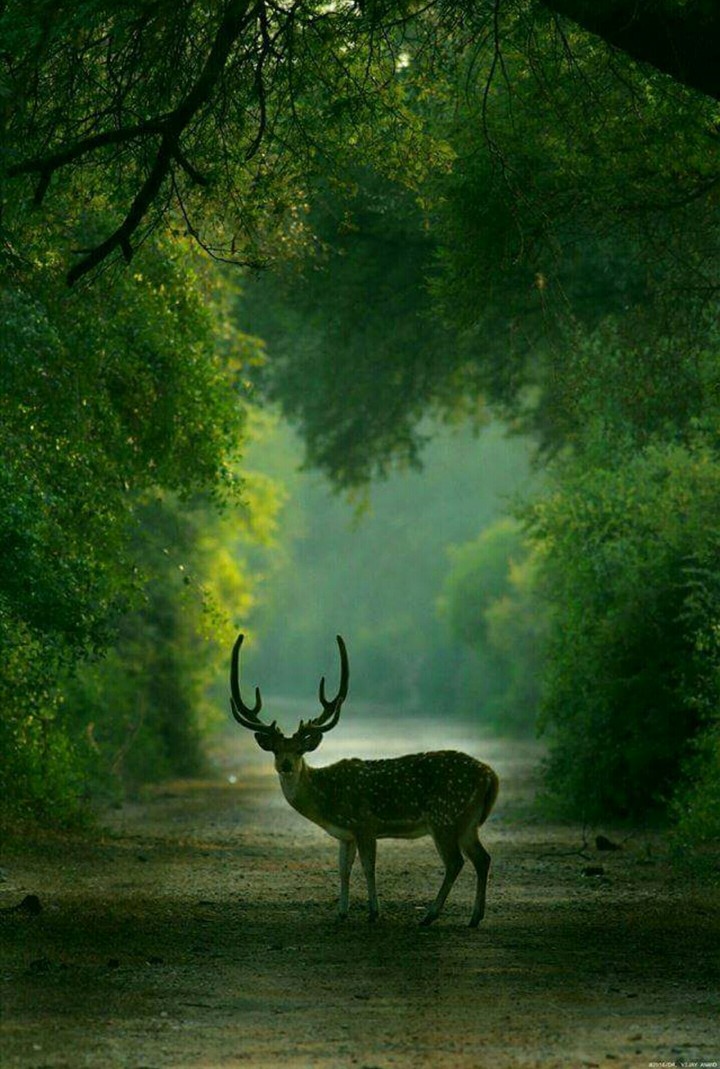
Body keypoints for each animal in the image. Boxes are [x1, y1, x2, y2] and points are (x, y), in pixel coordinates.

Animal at [230, 633, 499, 927]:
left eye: (300, 750)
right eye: (276, 750)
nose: (286, 764)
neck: (327, 801)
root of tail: (490, 775)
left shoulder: (365, 824)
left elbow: (368, 867)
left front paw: (373, 912)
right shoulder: (345, 834)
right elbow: (343, 869)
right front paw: (341, 912)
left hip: (444, 815)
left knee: (455, 862)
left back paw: (430, 915)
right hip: (467, 821)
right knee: (482, 858)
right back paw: (474, 917)